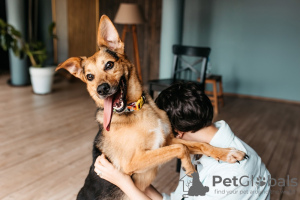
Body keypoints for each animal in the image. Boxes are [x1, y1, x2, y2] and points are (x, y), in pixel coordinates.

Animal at [56, 15, 246, 198]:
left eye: (109, 65)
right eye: (89, 77)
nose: (101, 89)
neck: (138, 110)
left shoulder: (166, 141)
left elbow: (200, 144)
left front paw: (227, 153)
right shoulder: (133, 160)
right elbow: (182, 148)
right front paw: (190, 168)